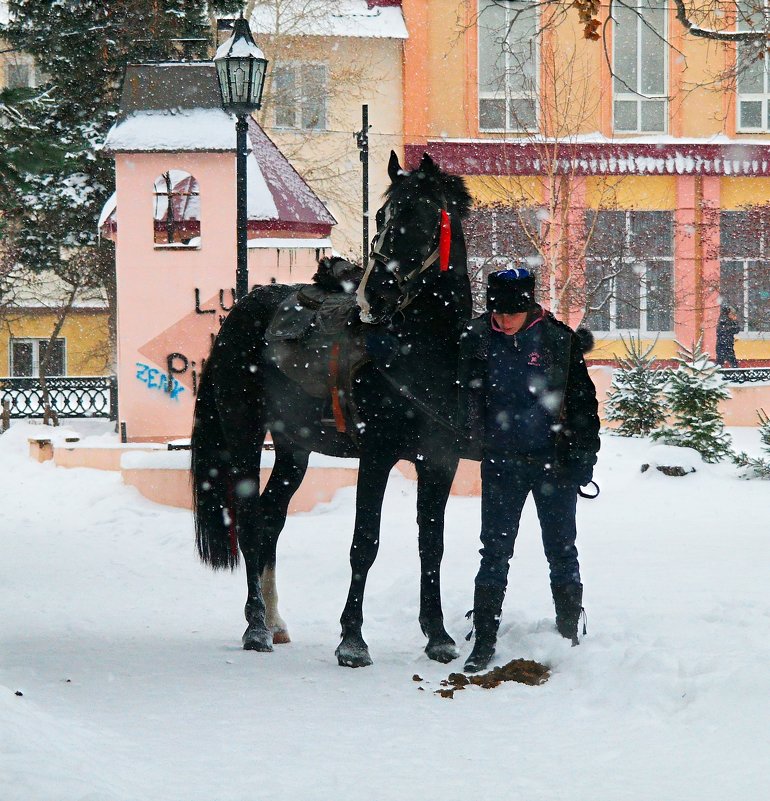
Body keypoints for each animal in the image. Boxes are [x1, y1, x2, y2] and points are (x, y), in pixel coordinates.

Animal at [189, 152, 472, 668]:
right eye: (381, 217)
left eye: (419, 218)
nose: (375, 294)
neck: (417, 355)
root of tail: (241, 310)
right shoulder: (377, 456)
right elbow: (365, 543)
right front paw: (352, 641)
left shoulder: (441, 461)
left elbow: (432, 544)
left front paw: (438, 635)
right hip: (243, 439)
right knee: (248, 520)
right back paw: (256, 627)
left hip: (293, 450)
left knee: (268, 519)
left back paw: (275, 622)